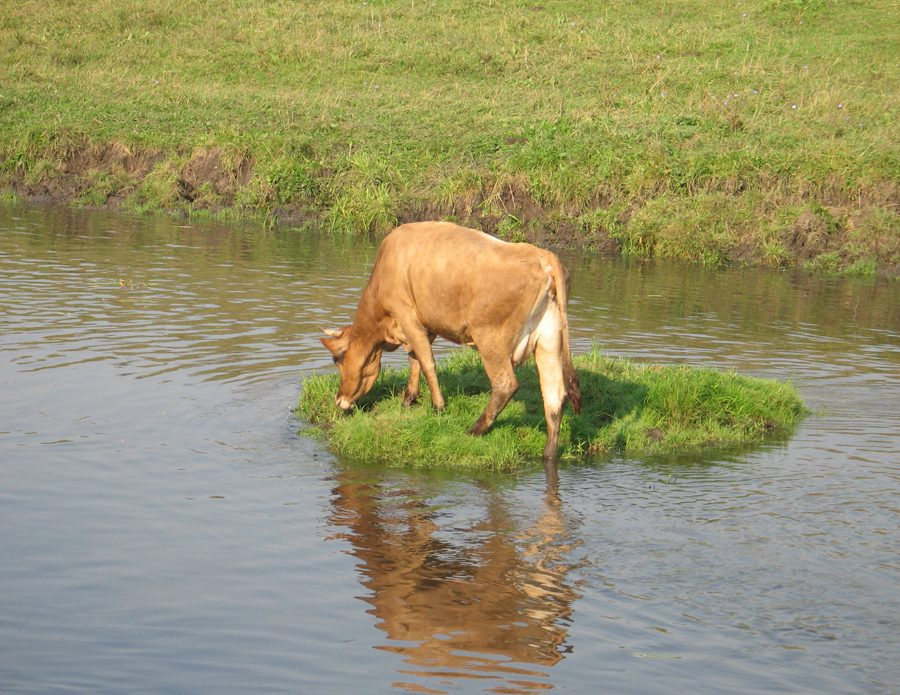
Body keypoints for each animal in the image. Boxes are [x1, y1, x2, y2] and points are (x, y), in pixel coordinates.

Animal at [320, 221, 582, 462]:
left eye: (337, 359)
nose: (339, 400)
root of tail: (544, 257)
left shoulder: (407, 316)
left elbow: (427, 362)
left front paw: (438, 407)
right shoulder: (426, 325)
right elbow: (415, 358)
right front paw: (409, 399)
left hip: (492, 340)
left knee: (506, 385)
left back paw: (475, 430)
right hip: (549, 340)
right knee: (554, 397)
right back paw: (548, 454)